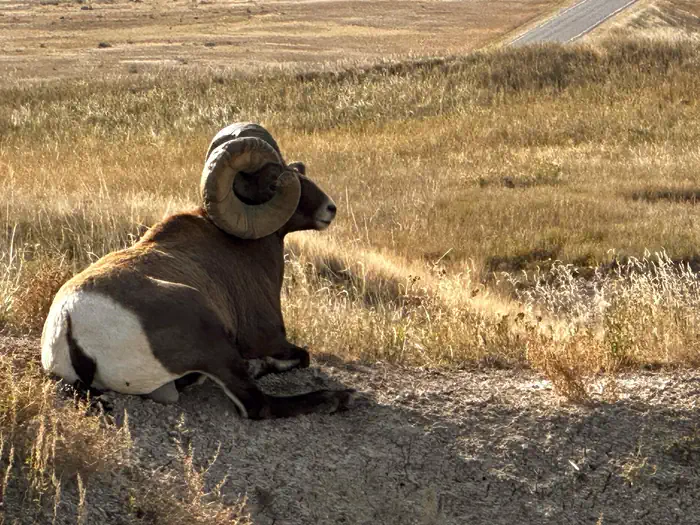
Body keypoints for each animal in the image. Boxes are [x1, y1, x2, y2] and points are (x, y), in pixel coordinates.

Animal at [41, 123, 353, 419]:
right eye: (274, 179)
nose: (329, 209)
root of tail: (69, 321)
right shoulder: (268, 338)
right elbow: (303, 356)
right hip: (210, 338)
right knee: (256, 405)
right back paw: (335, 398)